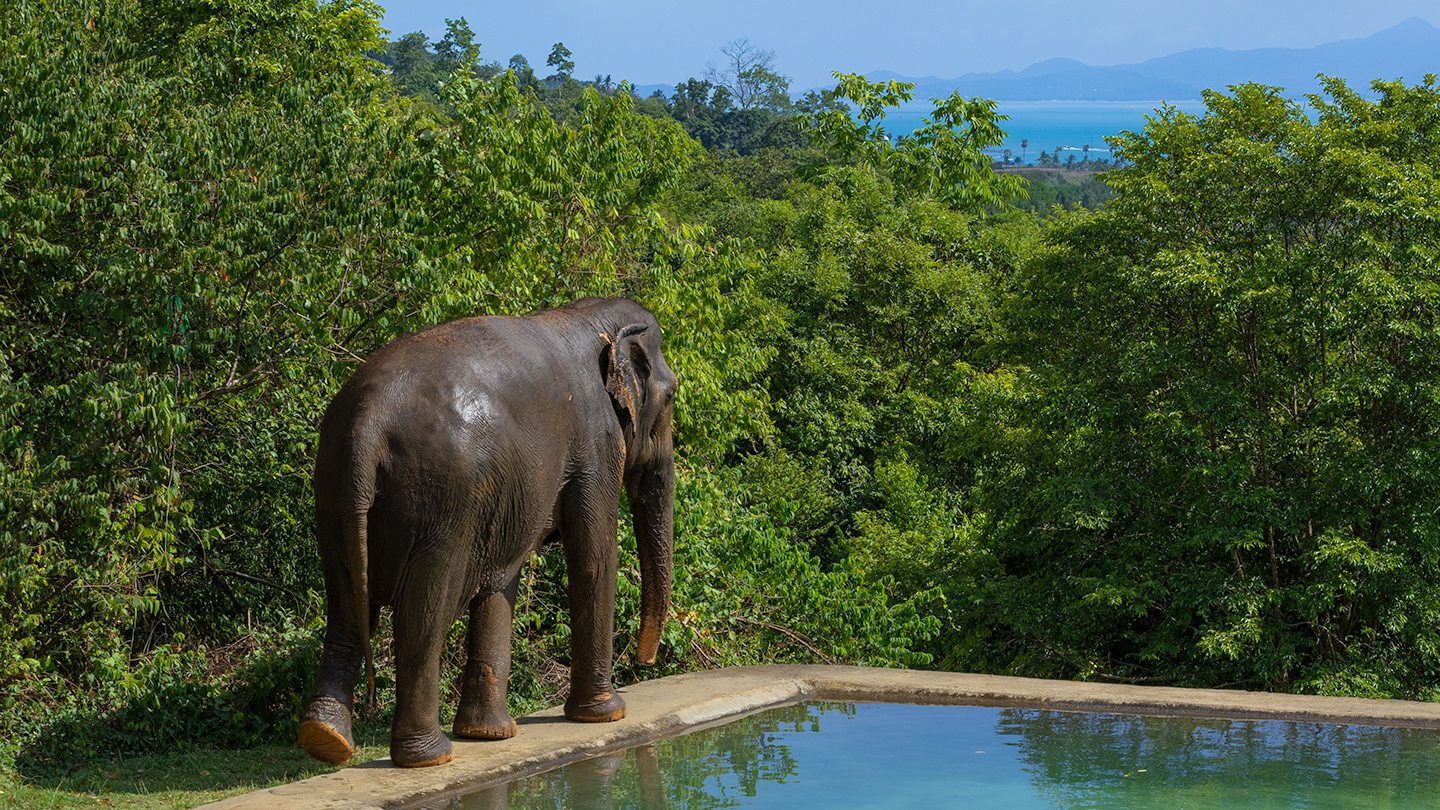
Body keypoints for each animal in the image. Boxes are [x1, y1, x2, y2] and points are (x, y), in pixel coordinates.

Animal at [297, 297, 676, 768]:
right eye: (672, 395)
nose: (645, 661)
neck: (591, 317)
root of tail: (367, 424)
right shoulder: (596, 441)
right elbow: (592, 555)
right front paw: (608, 714)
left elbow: (500, 578)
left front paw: (489, 735)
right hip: (443, 499)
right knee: (423, 614)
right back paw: (429, 756)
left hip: (332, 491)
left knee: (346, 606)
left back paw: (326, 739)